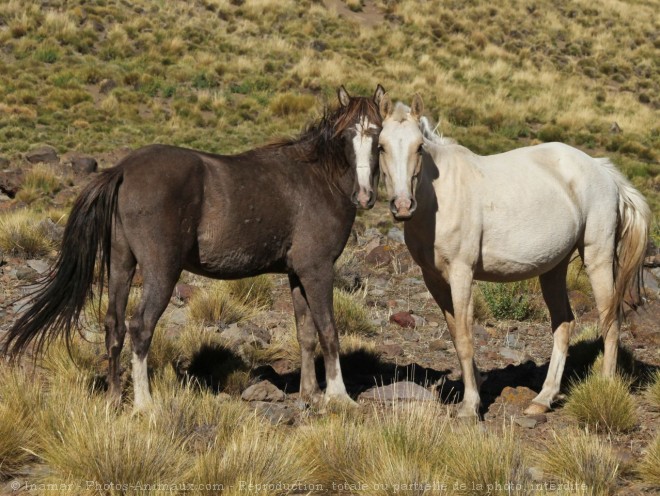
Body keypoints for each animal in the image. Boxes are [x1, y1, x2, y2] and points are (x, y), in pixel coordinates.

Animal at [3, 86, 386, 410]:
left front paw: (310, 393)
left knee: (114, 325)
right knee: (140, 327)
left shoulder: (297, 272)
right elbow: (329, 331)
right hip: (162, 270)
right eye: (346, 136)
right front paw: (339, 397)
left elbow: (305, 332)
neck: (318, 178)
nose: (365, 196)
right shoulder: (317, 269)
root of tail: (123, 169)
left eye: (378, 137)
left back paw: (114, 398)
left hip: (122, 264)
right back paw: (144, 405)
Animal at [376, 94, 648, 418]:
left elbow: (465, 339)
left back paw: (604, 388)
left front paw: (470, 407)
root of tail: (602, 169)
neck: (438, 197)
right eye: (381, 146)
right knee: (564, 324)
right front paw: (476, 389)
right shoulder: (434, 279)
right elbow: (455, 335)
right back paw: (543, 399)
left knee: (610, 320)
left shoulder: (462, 273)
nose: (403, 206)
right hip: (554, 268)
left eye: (419, 146)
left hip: (598, 257)